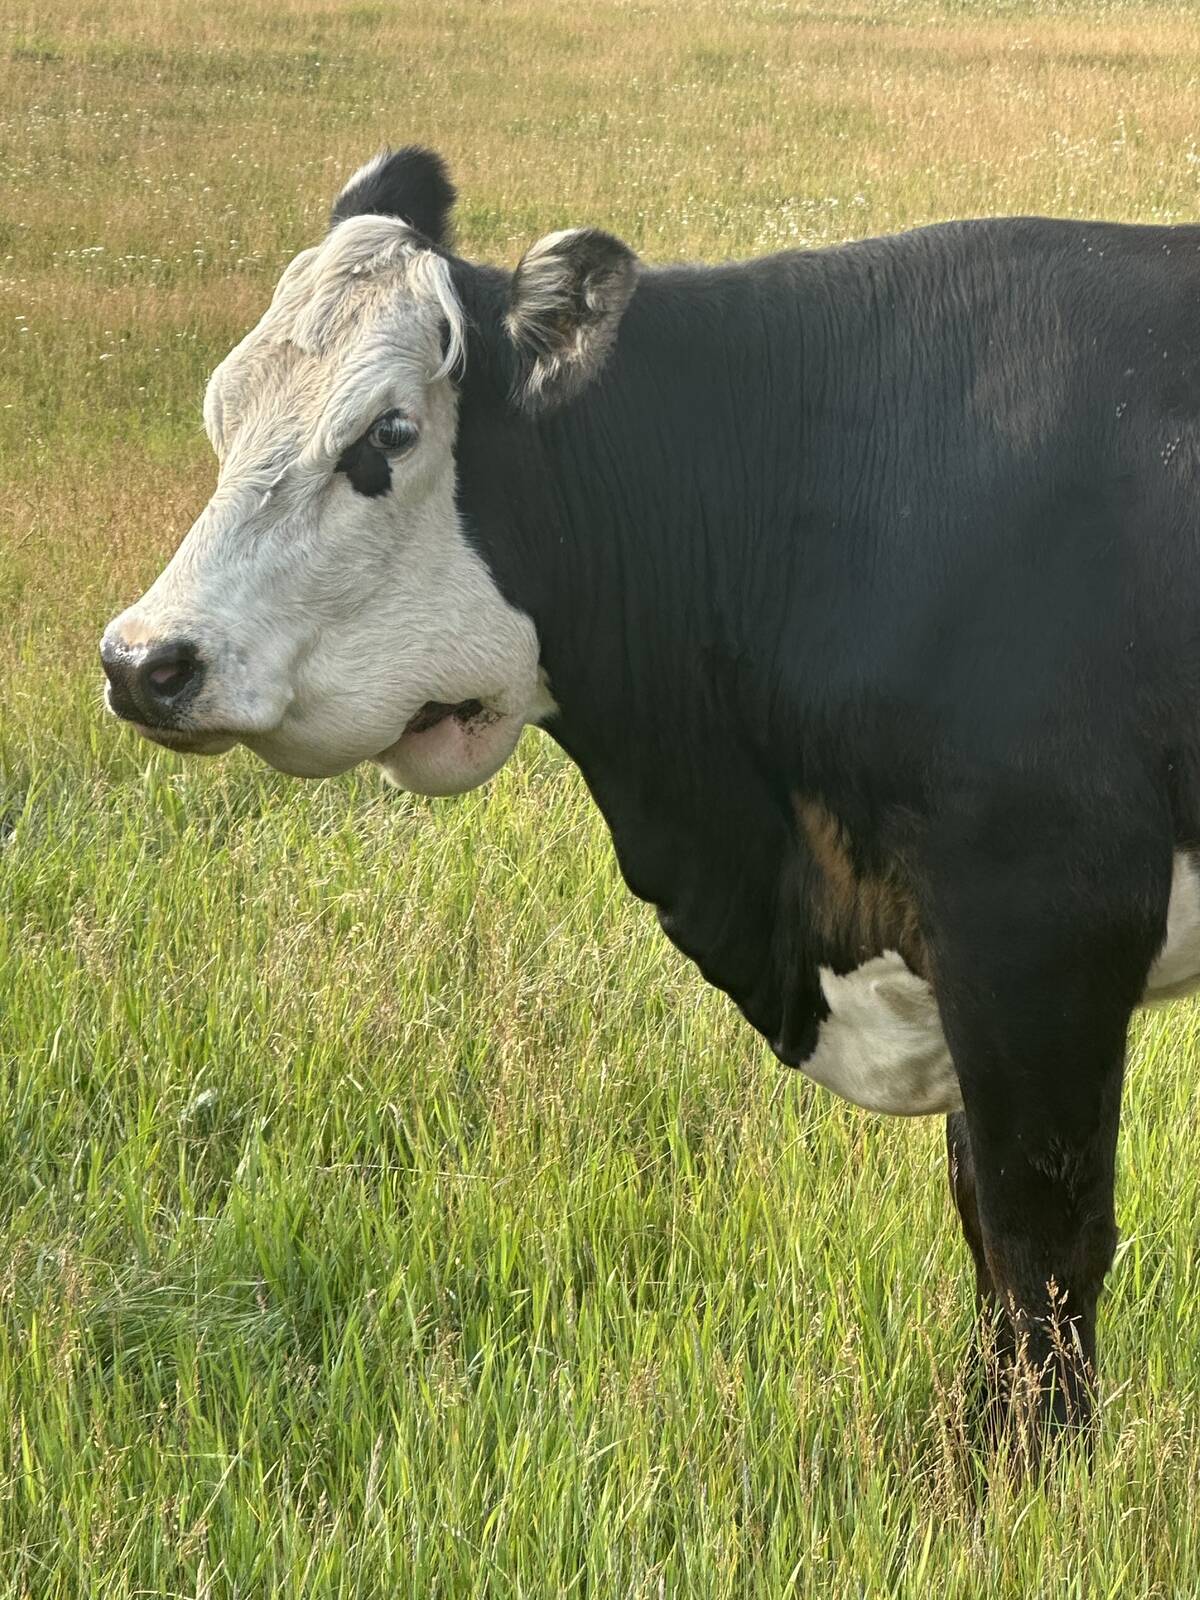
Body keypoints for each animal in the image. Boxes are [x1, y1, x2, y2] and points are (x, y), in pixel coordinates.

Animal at [100, 146, 1200, 1454]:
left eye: (388, 433)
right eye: (222, 410)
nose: (145, 661)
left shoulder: (1042, 931)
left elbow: (1042, 1255)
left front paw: (1025, 1475)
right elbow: (983, 1222)